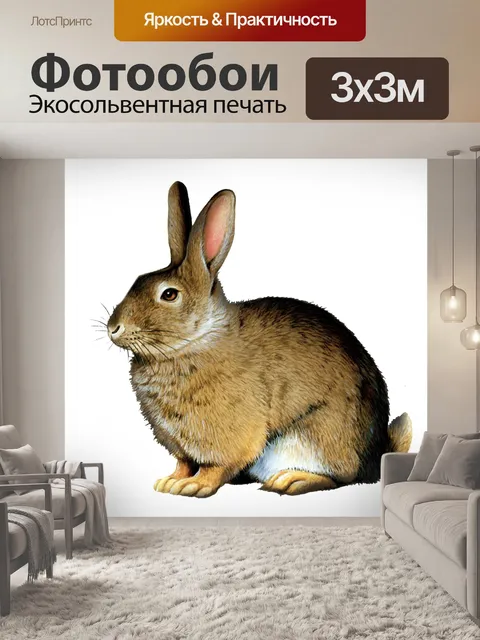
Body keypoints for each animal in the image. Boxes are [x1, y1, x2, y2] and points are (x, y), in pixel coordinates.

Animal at [107, 182, 412, 498]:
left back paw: (290, 480)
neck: (197, 340)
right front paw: (169, 482)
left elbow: (215, 467)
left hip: (315, 437)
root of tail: (374, 459)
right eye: (137, 280)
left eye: (169, 294)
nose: (113, 328)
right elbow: (183, 462)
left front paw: (193, 486)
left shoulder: (229, 436)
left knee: (339, 477)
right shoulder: (179, 445)